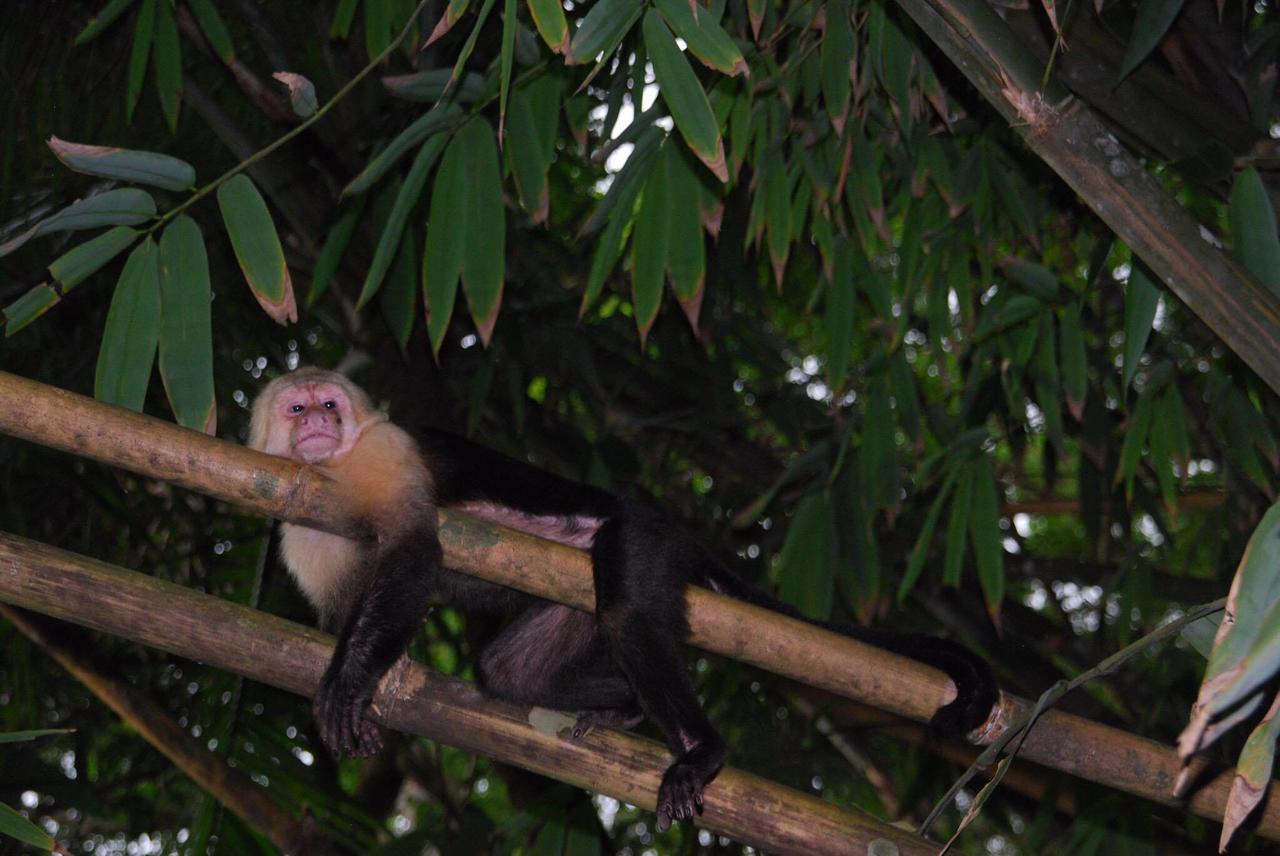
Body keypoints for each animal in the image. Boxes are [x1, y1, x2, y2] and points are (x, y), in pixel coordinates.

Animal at [244, 365, 993, 829]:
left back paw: (700, 748)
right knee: (512, 671)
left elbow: (412, 554)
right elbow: (348, 607)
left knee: (628, 610)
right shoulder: (297, 517)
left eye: (331, 404)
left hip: (646, 538)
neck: (331, 470)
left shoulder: (384, 454)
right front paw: (374, 682)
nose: (316, 423)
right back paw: (625, 709)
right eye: (297, 407)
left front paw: (347, 688)